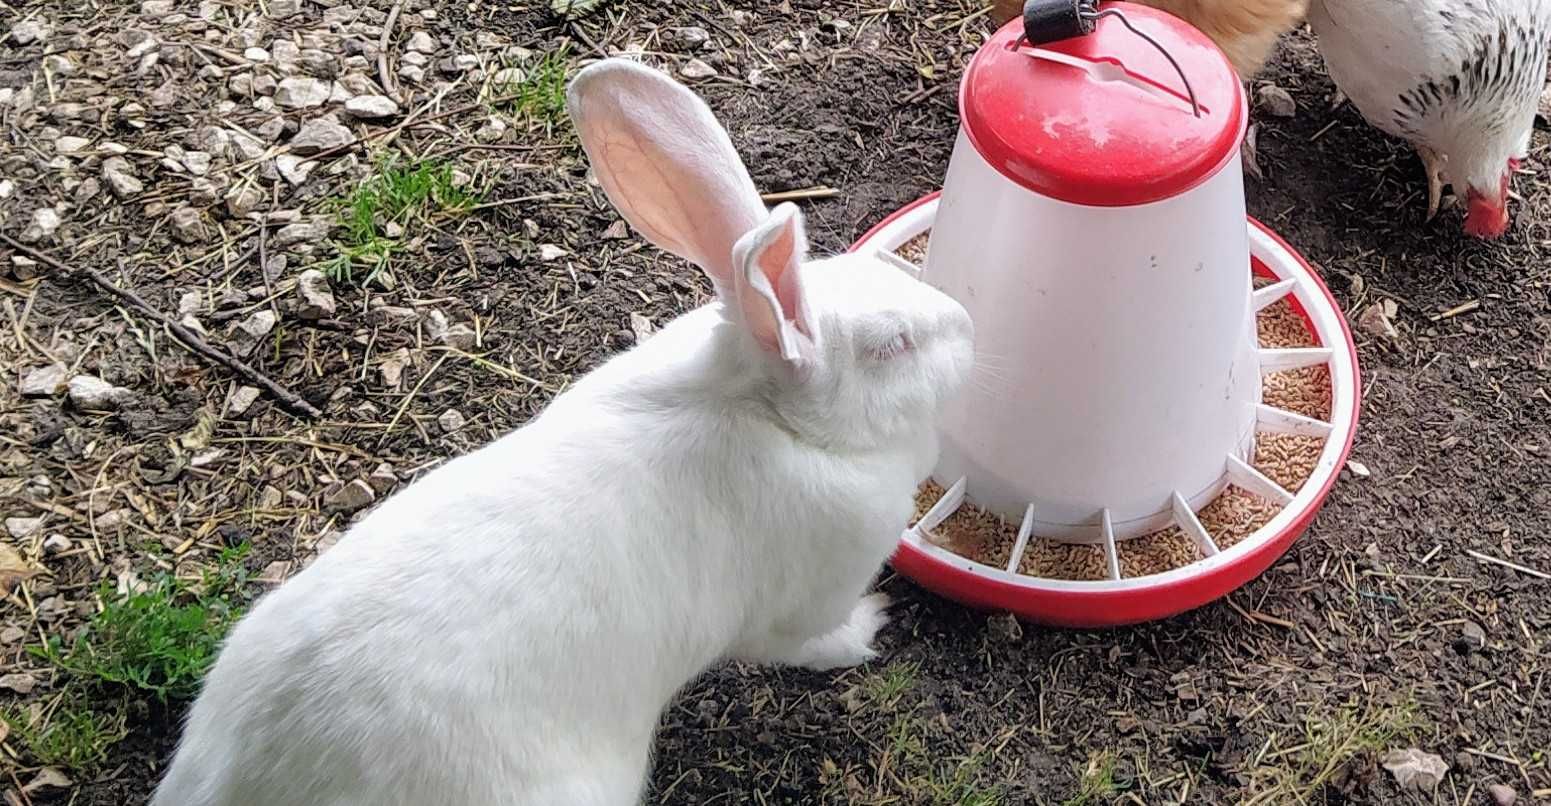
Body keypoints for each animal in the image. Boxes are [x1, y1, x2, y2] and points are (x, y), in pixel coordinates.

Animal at [145, 58, 967, 806]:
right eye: (892, 345)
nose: (965, 324)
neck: (767, 414)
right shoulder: (805, 602)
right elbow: (814, 642)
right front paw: (872, 627)